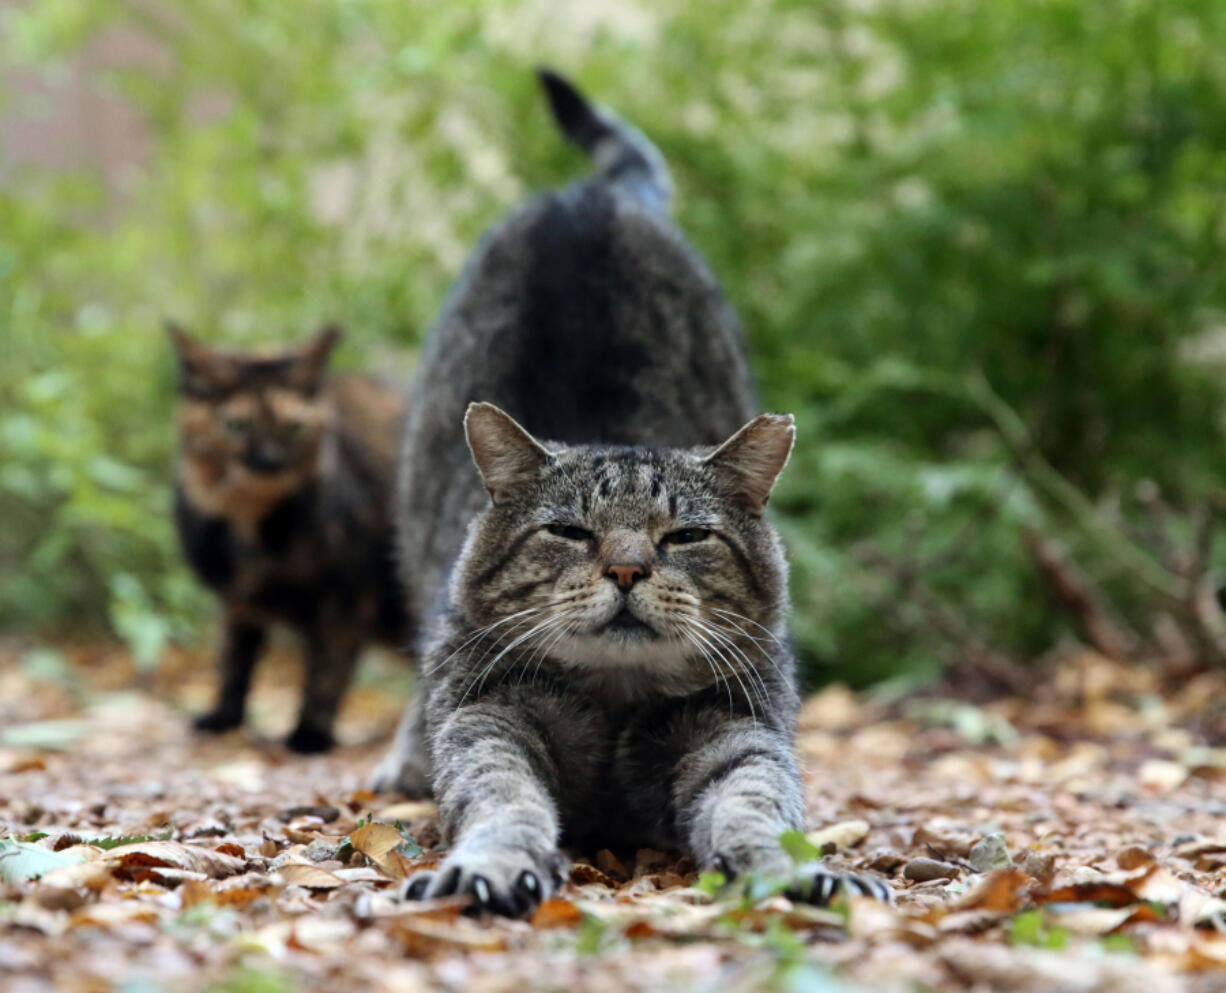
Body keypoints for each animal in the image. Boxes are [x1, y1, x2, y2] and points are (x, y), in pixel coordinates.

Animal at [170, 326, 409, 750]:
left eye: (292, 428)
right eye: (236, 426)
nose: (267, 462)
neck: (251, 527)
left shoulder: (347, 599)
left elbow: (327, 672)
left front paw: (309, 735)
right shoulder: (235, 601)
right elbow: (233, 659)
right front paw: (223, 719)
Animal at [372, 71, 892, 912]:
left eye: (686, 536)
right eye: (569, 531)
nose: (625, 569)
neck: (617, 697)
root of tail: (593, 195)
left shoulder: (739, 734)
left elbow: (758, 803)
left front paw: (790, 870)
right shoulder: (486, 718)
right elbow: (501, 796)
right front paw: (491, 862)